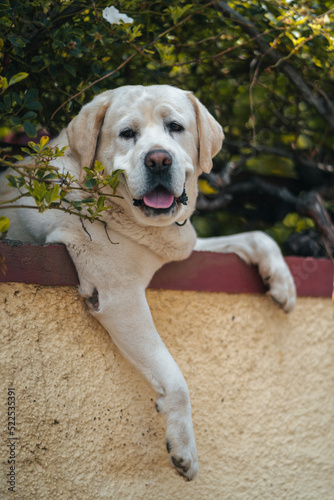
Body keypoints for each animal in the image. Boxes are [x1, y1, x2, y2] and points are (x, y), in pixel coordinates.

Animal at [1, 85, 294, 480]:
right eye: (127, 134)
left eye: (175, 127)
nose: (158, 160)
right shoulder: (121, 296)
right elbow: (175, 377)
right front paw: (184, 447)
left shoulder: (185, 244)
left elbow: (255, 236)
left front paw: (281, 280)